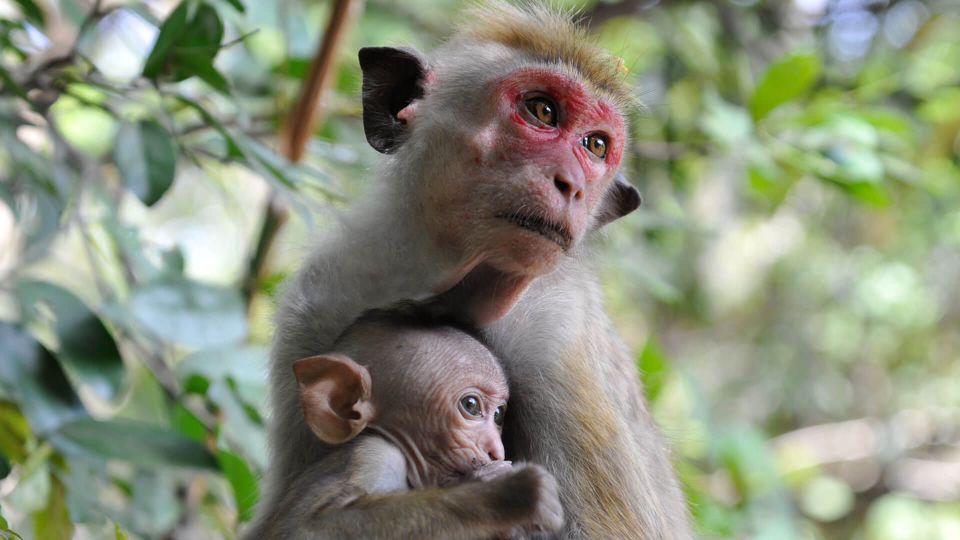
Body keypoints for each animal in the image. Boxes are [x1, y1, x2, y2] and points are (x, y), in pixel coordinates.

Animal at [262, 310, 564, 540]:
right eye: (470, 406)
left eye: (499, 415)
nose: (495, 451)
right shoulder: (375, 455)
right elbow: (308, 528)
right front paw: (506, 492)